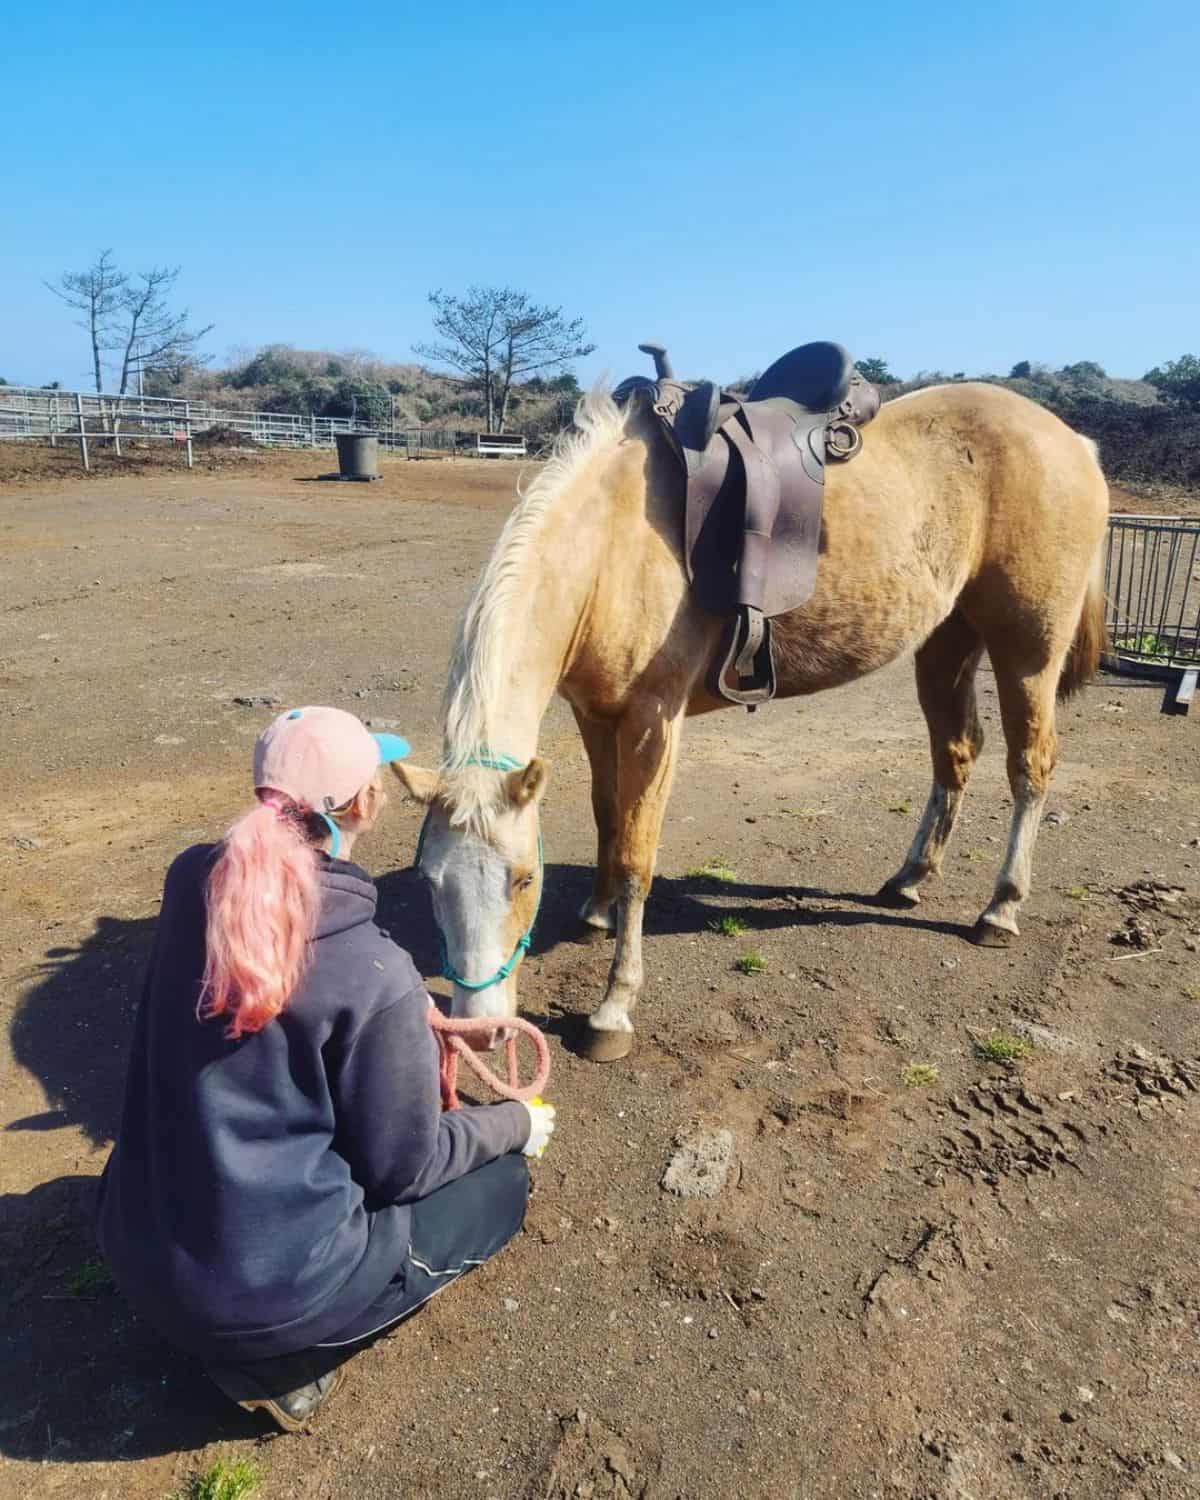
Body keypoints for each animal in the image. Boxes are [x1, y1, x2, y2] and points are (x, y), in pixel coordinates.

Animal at [399, 384, 1110, 1068]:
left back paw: (1001, 907)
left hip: (1027, 652)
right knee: (956, 752)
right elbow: (608, 818)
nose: (479, 1030)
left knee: (1029, 766)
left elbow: (635, 856)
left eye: (523, 879)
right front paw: (597, 913)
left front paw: (613, 1008)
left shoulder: (654, 721)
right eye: (429, 881)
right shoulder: (595, 715)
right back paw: (910, 878)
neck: (612, 546)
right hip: (946, 641)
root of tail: (1074, 442)